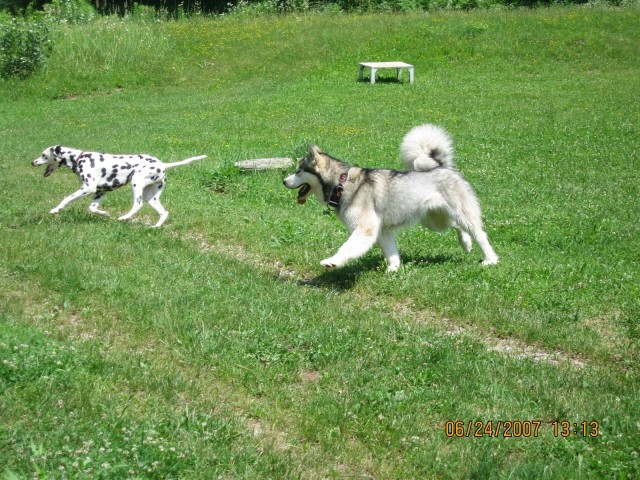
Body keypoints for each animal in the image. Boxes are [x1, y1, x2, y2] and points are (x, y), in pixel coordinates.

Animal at [33, 145, 208, 228]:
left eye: (43, 155)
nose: (32, 162)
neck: (79, 158)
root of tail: (162, 164)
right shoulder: (100, 192)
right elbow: (93, 208)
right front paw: (105, 214)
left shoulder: (88, 188)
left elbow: (66, 199)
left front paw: (55, 210)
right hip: (151, 196)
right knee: (163, 212)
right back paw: (155, 227)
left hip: (136, 183)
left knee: (137, 205)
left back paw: (124, 217)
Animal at [284, 124, 500, 272]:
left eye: (298, 170)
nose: (284, 181)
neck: (341, 183)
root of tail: (443, 166)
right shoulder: (382, 231)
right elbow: (391, 252)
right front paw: (393, 270)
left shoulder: (365, 229)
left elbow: (347, 247)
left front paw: (332, 261)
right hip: (434, 220)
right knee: (457, 227)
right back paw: (466, 244)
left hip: (459, 212)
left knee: (479, 233)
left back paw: (489, 259)